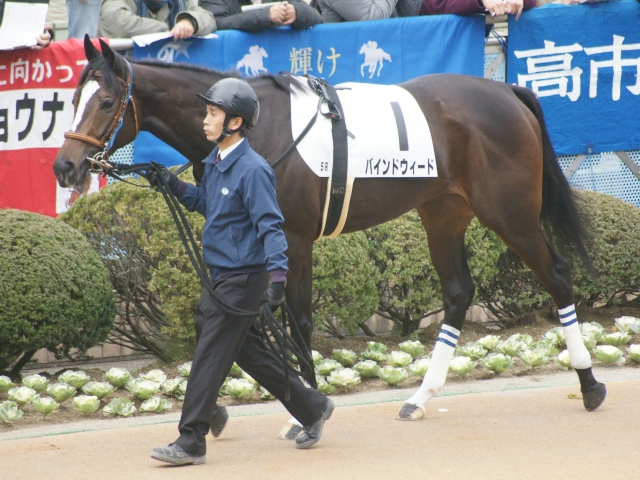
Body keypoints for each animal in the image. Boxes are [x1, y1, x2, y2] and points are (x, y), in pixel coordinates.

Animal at [53, 37, 607, 421]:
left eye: (106, 103)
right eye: (72, 99)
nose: (65, 167)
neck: (258, 128)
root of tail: (507, 90)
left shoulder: (293, 240)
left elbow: (295, 320)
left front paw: (308, 407)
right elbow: (246, 321)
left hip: (511, 213)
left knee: (558, 275)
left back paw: (590, 386)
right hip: (444, 212)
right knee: (457, 292)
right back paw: (420, 398)